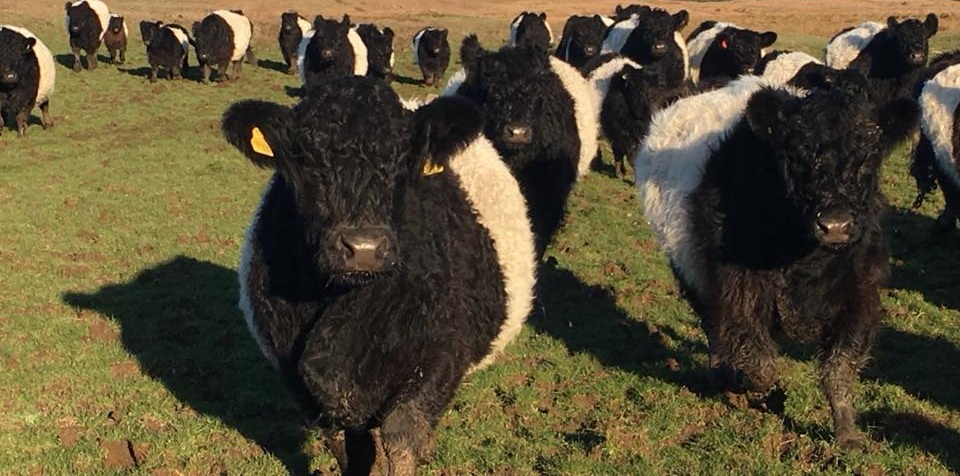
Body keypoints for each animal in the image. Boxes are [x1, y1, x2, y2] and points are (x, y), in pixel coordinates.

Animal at [226, 76, 535, 475]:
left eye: (404, 161)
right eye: (306, 161)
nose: (364, 247)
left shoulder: (441, 355)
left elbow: (401, 437)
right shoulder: (298, 378)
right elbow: (350, 450)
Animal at [635, 75, 918, 449]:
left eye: (868, 157)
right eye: (796, 155)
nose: (835, 225)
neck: (806, 258)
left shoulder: (862, 295)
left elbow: (839, 368)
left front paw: (847, 435)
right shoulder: (739, 291)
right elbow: (760, 365)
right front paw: (750, 389)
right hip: (692, 273)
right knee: (715, 330)